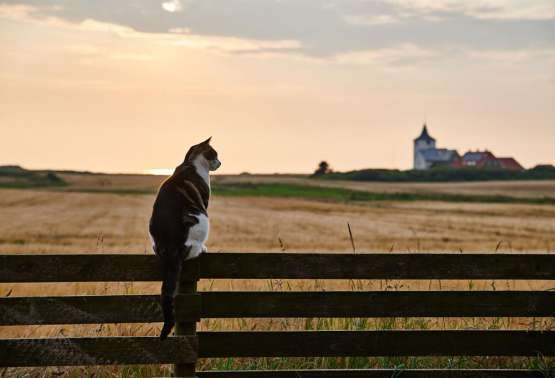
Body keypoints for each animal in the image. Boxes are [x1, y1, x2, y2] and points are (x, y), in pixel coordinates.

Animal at [152, 137, 224, 342]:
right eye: (215, 154)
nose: (220, 163)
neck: (190, 163)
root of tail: (170, 247)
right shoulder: (204, 199)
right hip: (201, 216)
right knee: (194, 249)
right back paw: (203, 248)